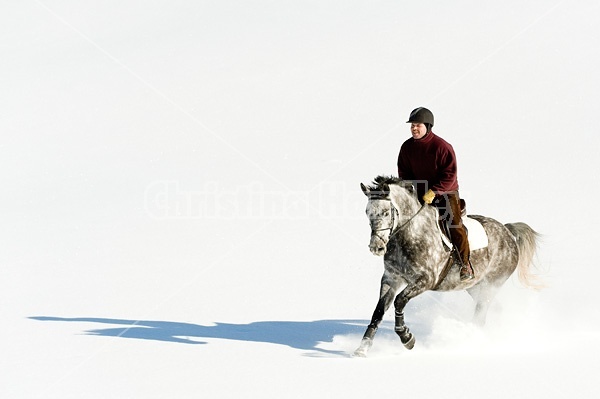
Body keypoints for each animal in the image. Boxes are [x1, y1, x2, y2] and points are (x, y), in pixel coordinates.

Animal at [354, 177, 540, 358]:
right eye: (367, 212)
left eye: (386, 212)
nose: (376, 247)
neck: (411, 234)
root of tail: (507, 232)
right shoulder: (391, 277)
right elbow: (379, 310)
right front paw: (363, 348)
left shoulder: (426, 280)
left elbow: (399, 301)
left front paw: (407, 338)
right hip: (475, 286)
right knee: (491, 309)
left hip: (491, 284)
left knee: (481, 313)